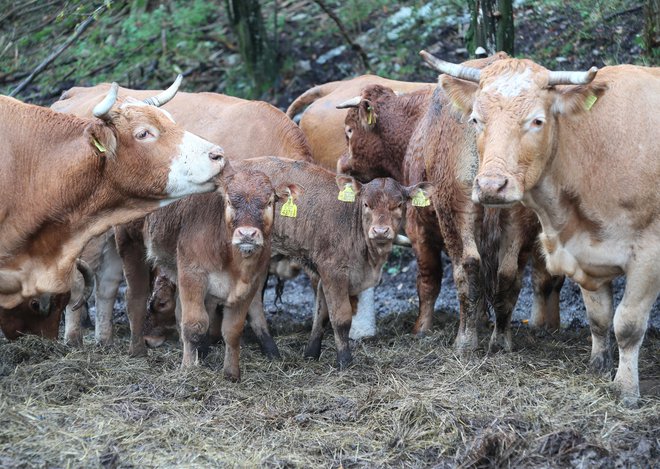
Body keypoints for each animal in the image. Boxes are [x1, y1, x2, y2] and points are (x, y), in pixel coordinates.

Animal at [117, 168, 298, 380]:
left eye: (269, 202)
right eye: (229, 201)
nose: (247, 234)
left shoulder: (251, 283)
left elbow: (232, 330)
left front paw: (231, 373)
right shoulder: (193, 274)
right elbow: (194, 325)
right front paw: (188, 369)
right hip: (129, 242)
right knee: (135, 298)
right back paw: (137, 350)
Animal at [232, 157, 434, 370]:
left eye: (399, 204)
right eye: (366, 204)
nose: (380, 231)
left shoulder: (326, 276)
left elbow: (322, 314)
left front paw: (311, 353)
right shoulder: (333, 271)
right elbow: (341, 318)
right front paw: (345, 361)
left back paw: (271, 351)